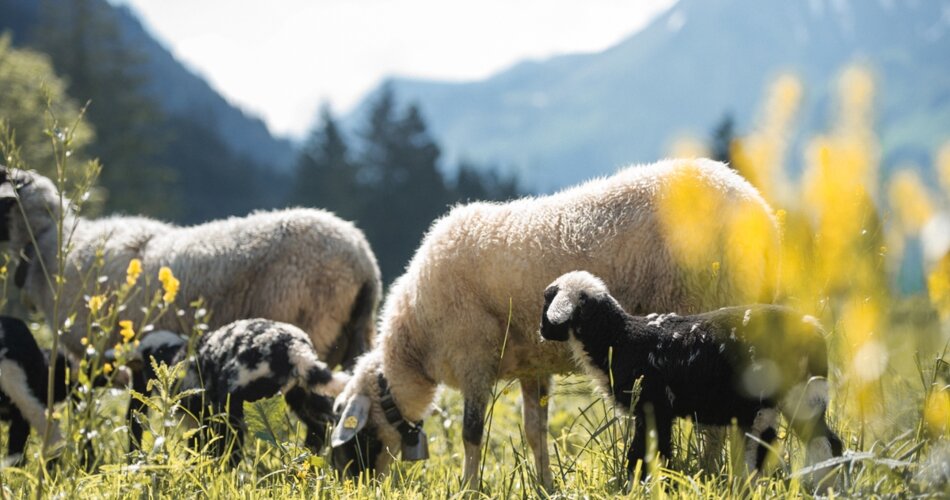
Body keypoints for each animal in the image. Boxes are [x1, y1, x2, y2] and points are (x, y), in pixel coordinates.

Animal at [330, 158, 780, 486]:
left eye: (357, 438)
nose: (360, 485)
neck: (416, 338)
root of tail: (761, 211)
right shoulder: (532, 365)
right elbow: (535, 431)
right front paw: (546, 484)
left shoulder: (473, 355)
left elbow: (471, 433)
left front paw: (468, 488)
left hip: (708, 307)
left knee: (716, 423)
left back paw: (709, 472)